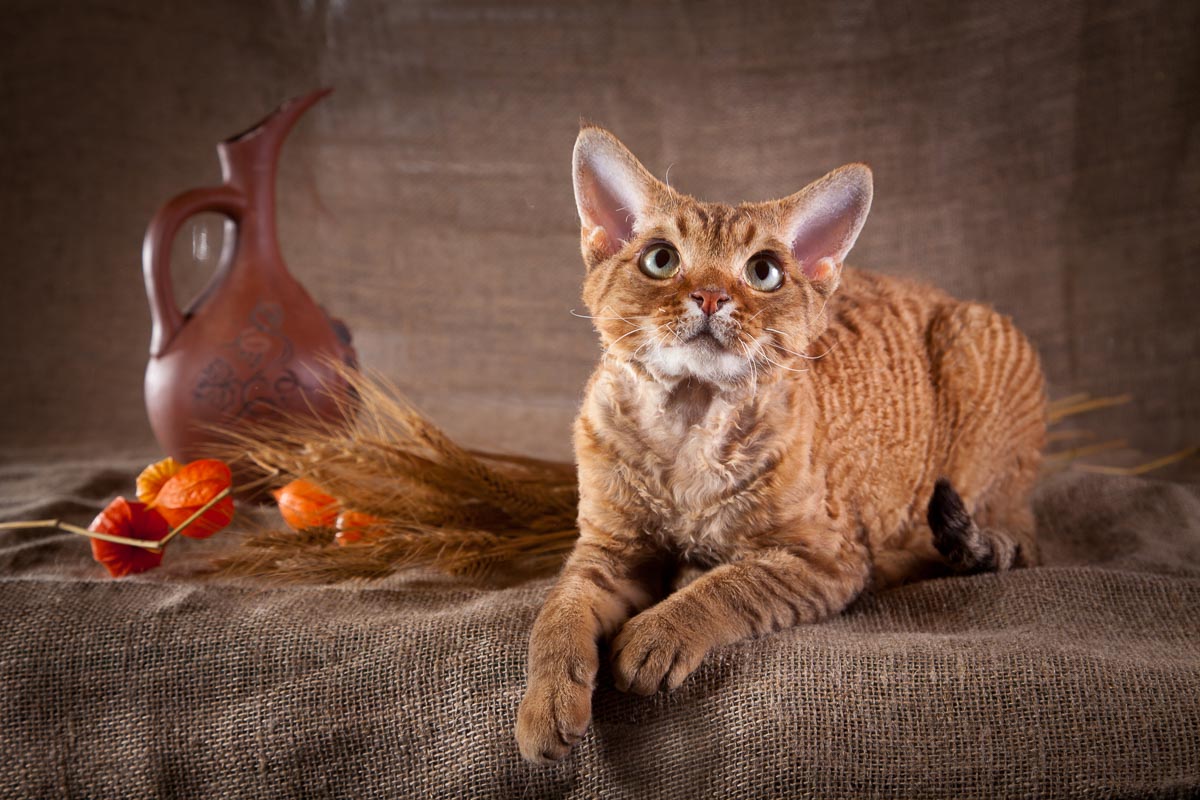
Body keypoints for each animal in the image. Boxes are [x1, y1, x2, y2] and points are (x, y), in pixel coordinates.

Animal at [513, 125, 1041, 762]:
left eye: (763, 272)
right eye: (661, 259)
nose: (710, 296)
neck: (688, 425)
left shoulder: (826, 557)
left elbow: (737, 584)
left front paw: (660, 630)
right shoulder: (608, 550)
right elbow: (558, 612)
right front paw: (546, 702)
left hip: (973, 352)